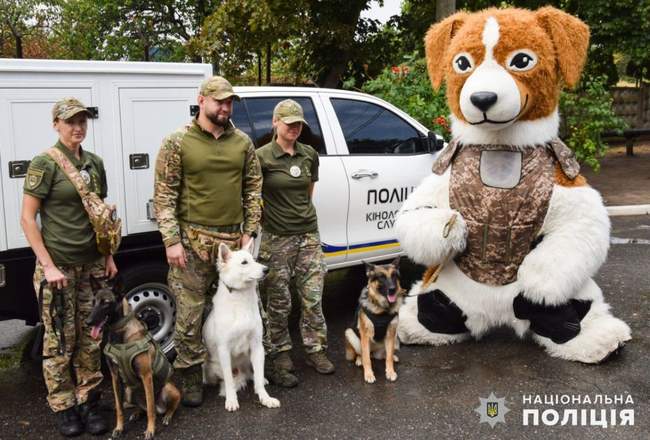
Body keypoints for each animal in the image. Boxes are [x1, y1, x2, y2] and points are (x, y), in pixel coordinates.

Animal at [85, 276, 180, 438]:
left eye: (106, 303)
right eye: (93, 302)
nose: (88, 322)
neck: (119, 334)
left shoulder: (146, 375)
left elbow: (150, 408)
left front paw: (150, 430)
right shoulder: (115, 377)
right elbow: (119, 407)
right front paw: (119, 427)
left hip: (169, 389)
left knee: (163, 406)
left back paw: (167, 415)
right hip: (129, 391)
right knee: (143, 407)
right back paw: (136, 413)